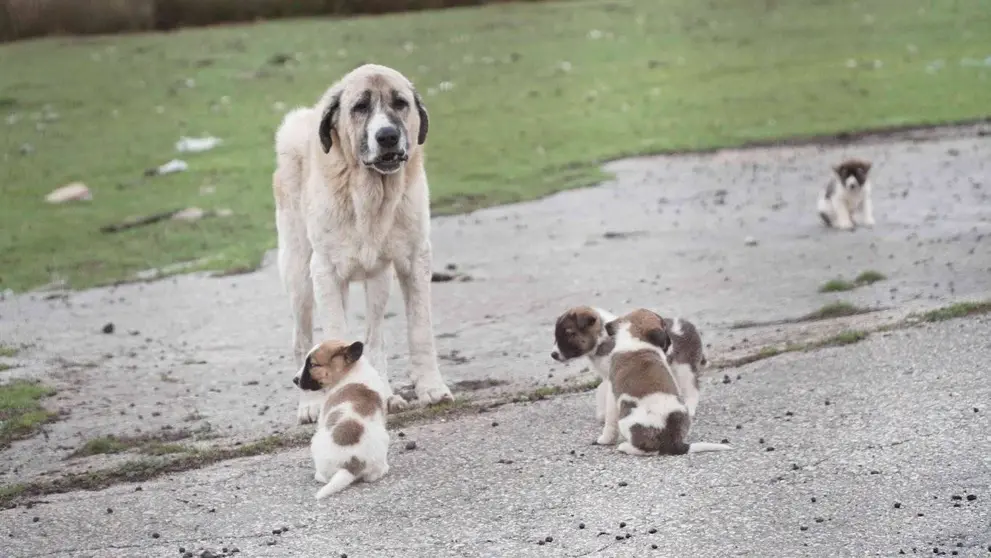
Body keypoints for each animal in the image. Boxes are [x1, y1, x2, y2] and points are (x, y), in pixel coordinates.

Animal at [292, 342, 390, 504]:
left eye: (312, 365)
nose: (294, 380)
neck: (350, 370)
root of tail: (351, 464)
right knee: (375, 474)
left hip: (316, 442)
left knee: (326, 477)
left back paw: (318, 475)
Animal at [596, 310, 728, 460]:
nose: (670, 343)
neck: (638, 340)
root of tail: (674, 442)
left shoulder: (612, 395)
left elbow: (610, 423)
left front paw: (605, 439)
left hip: (625, 420)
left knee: (649, 450)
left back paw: (625, 447)